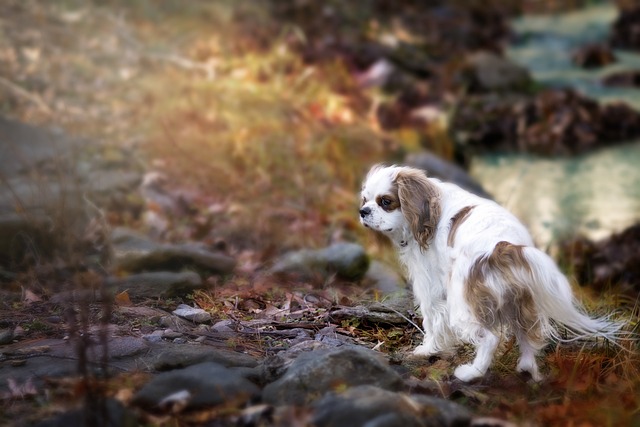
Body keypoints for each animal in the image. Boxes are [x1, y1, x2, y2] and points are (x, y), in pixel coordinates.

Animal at [360, 166, 620, 382]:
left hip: (463, 302)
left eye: (385, 201)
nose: (363, 211)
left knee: (490, 338)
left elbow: (432, 320)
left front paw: (427, 349)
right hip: (520, 300)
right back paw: (527, 369)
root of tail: (504, 247)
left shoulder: (429, 284)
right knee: (528, 334)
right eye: (365, 199)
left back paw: (471, 373)